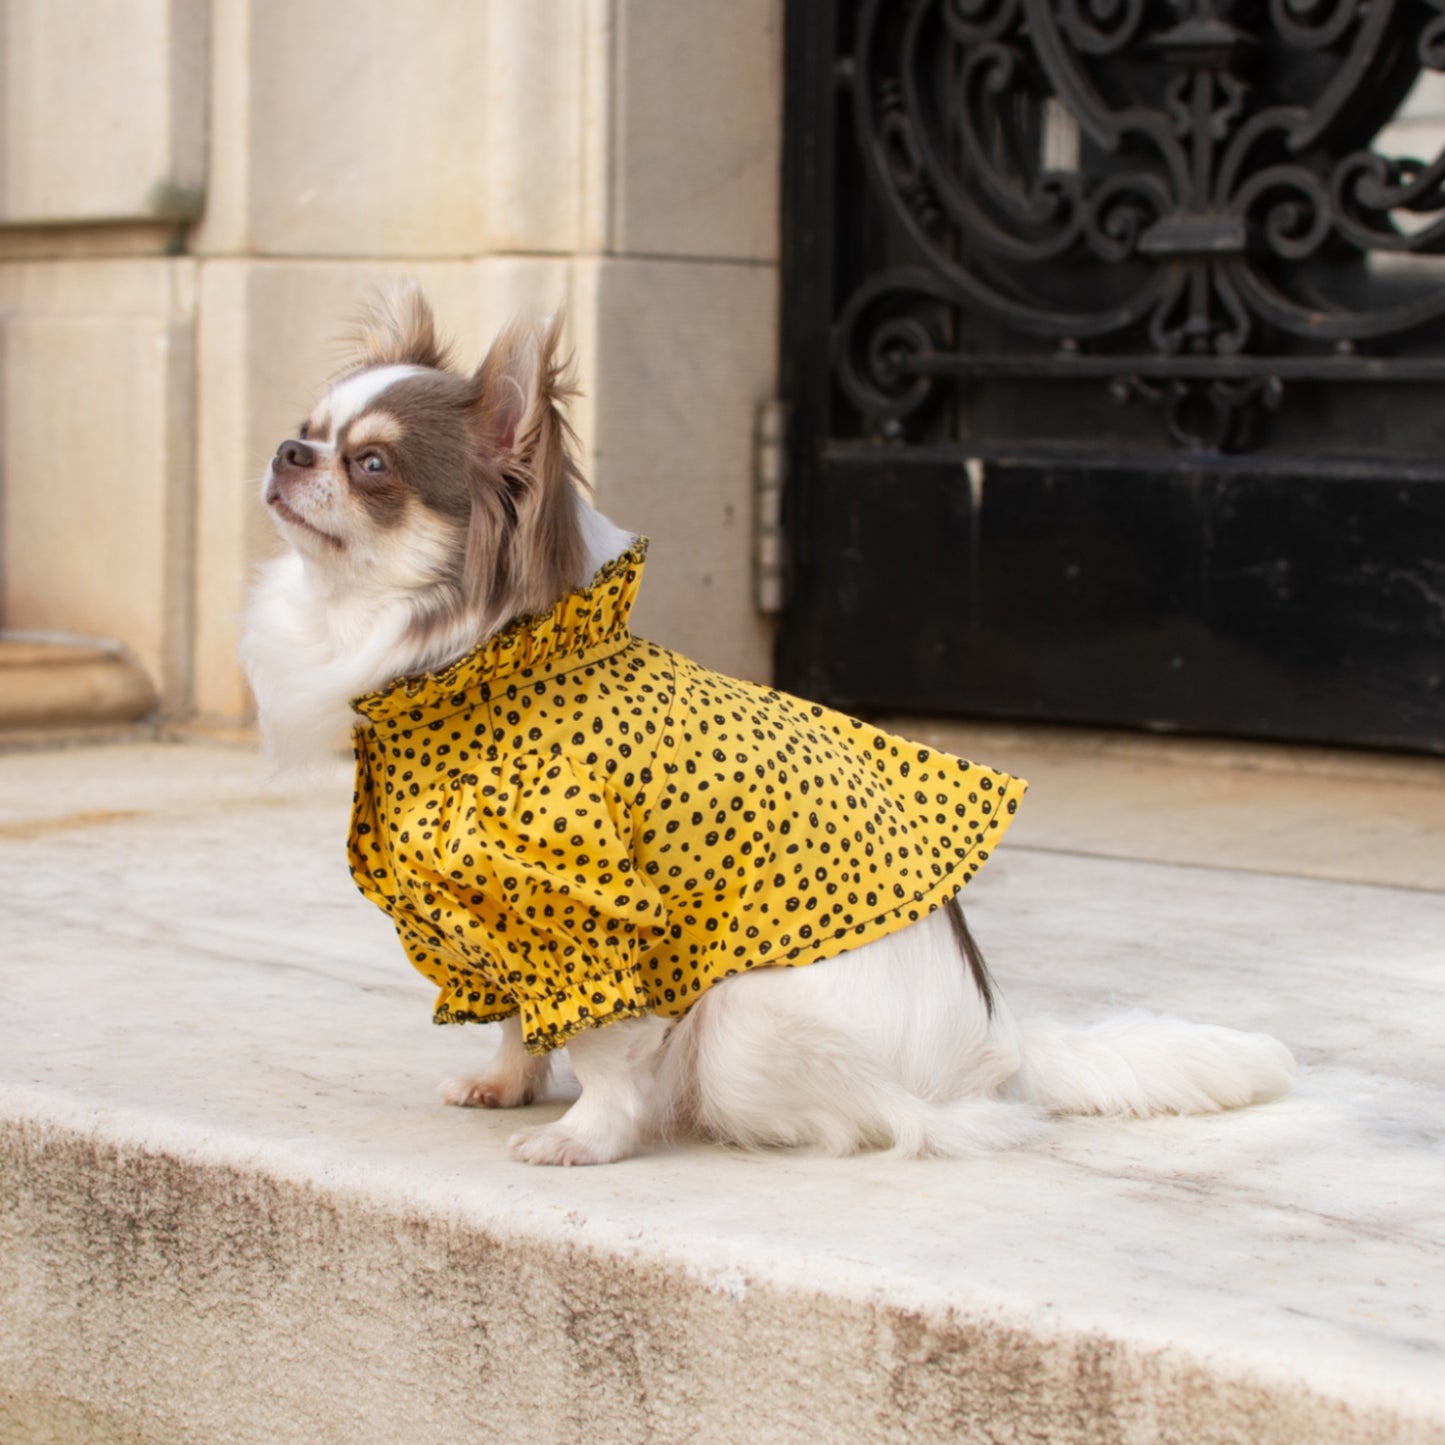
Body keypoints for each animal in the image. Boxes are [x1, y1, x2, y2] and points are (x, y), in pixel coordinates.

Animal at [239, 287, 1300, 1167]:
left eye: (372, 464)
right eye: (307, 432)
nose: (286, 452)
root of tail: (1001, 1048)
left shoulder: (586, 914)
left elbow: (608, 1046)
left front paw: (588, 1134)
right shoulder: (496, 916)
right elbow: (514, 1021)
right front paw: (507, 1084)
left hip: (747, 1017)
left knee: (901, 1121)